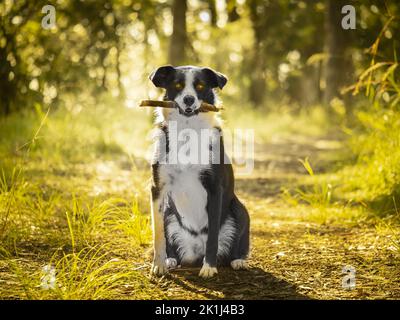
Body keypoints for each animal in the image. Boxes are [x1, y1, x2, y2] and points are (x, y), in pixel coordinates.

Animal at [150, 65, 250, 278]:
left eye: (201, 86)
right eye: (177, 85)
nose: (189, 99)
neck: (188, 131)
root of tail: (195, 251)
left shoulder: (215, 189)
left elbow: (212, 235)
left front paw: (209, 267)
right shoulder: (157, 189)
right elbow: (158, 233)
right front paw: (159, 265)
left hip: (239, 208)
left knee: (238, 244)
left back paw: (238, 260)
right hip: (169, 212)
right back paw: (171, 259)